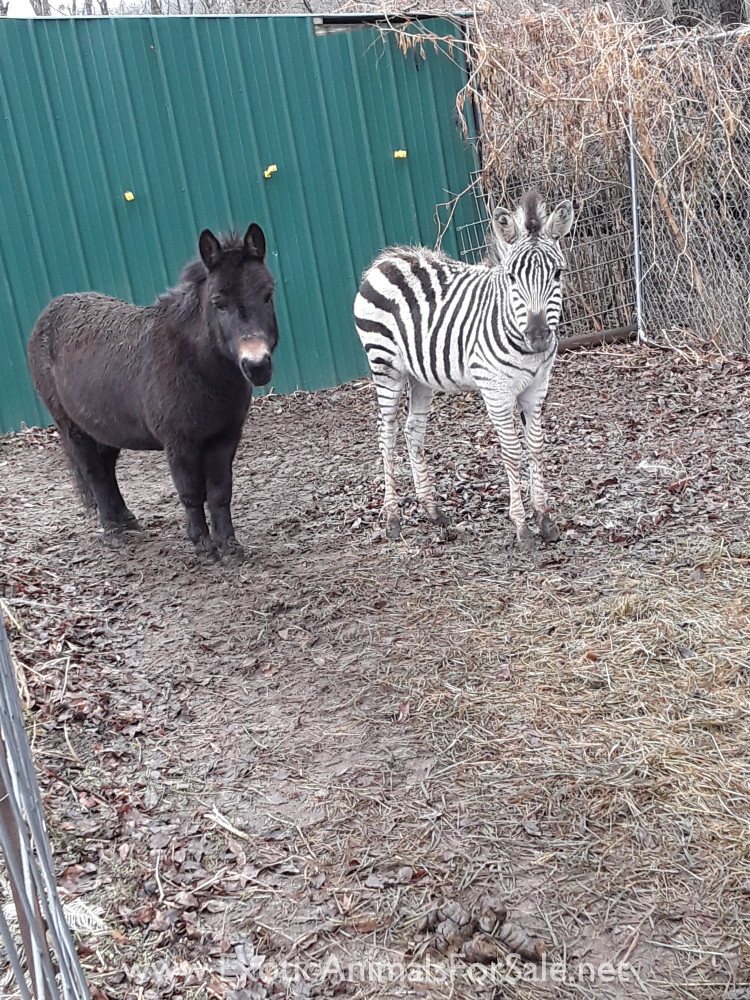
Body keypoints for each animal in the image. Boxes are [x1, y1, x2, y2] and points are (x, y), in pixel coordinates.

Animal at [353, 190, 574, 551]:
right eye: (512, 277)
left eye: (557, 274)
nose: (539, 336)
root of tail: (386, 260)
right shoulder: (495, 389)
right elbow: (512, 451)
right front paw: (522, 528)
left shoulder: (537, 386)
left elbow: (536, 446)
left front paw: (545, 520)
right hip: (385, 366)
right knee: (386, 434)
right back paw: (393, 520)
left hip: (420, 375)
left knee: (412, 431)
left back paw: (434, 512)